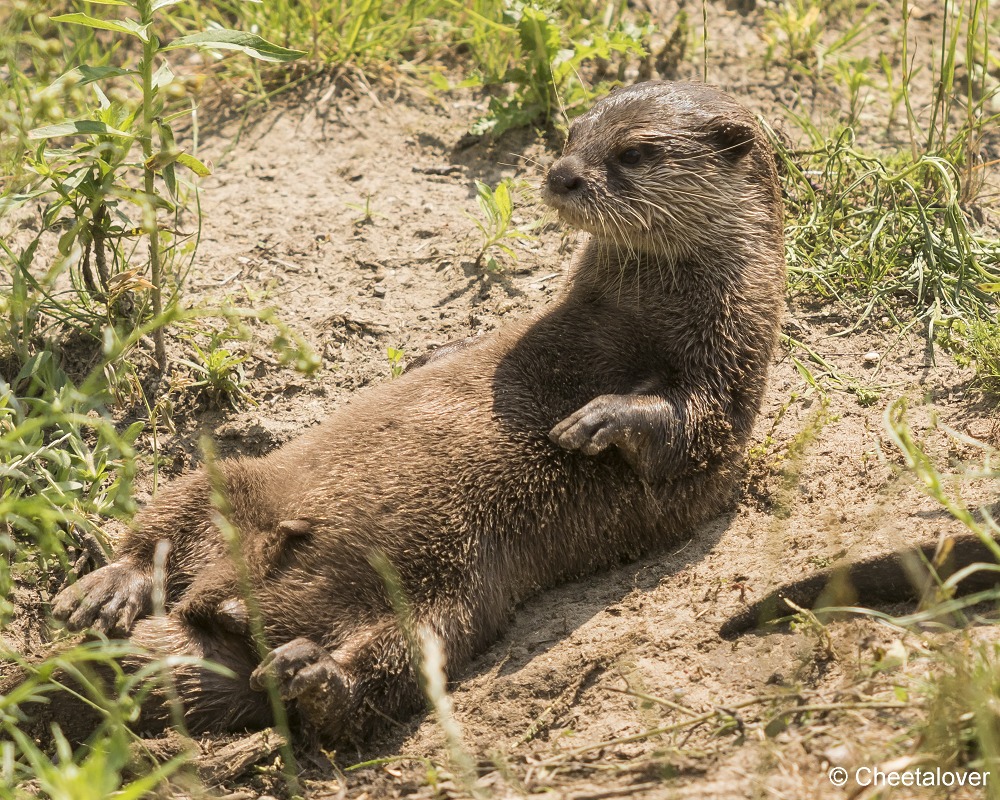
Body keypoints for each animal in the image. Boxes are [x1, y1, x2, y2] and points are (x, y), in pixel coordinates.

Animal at [47, 83, 784, 744]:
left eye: (634, 152)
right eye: (571, 134)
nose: (562, 174)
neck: (640, 314)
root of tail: (228, 607)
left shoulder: (730, 369)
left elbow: (691, 428)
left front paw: (598, 418)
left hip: (443, 605)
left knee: (382, 676)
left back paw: (310, 675)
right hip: (238, 477)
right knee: (164, 524)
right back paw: (105, 591)